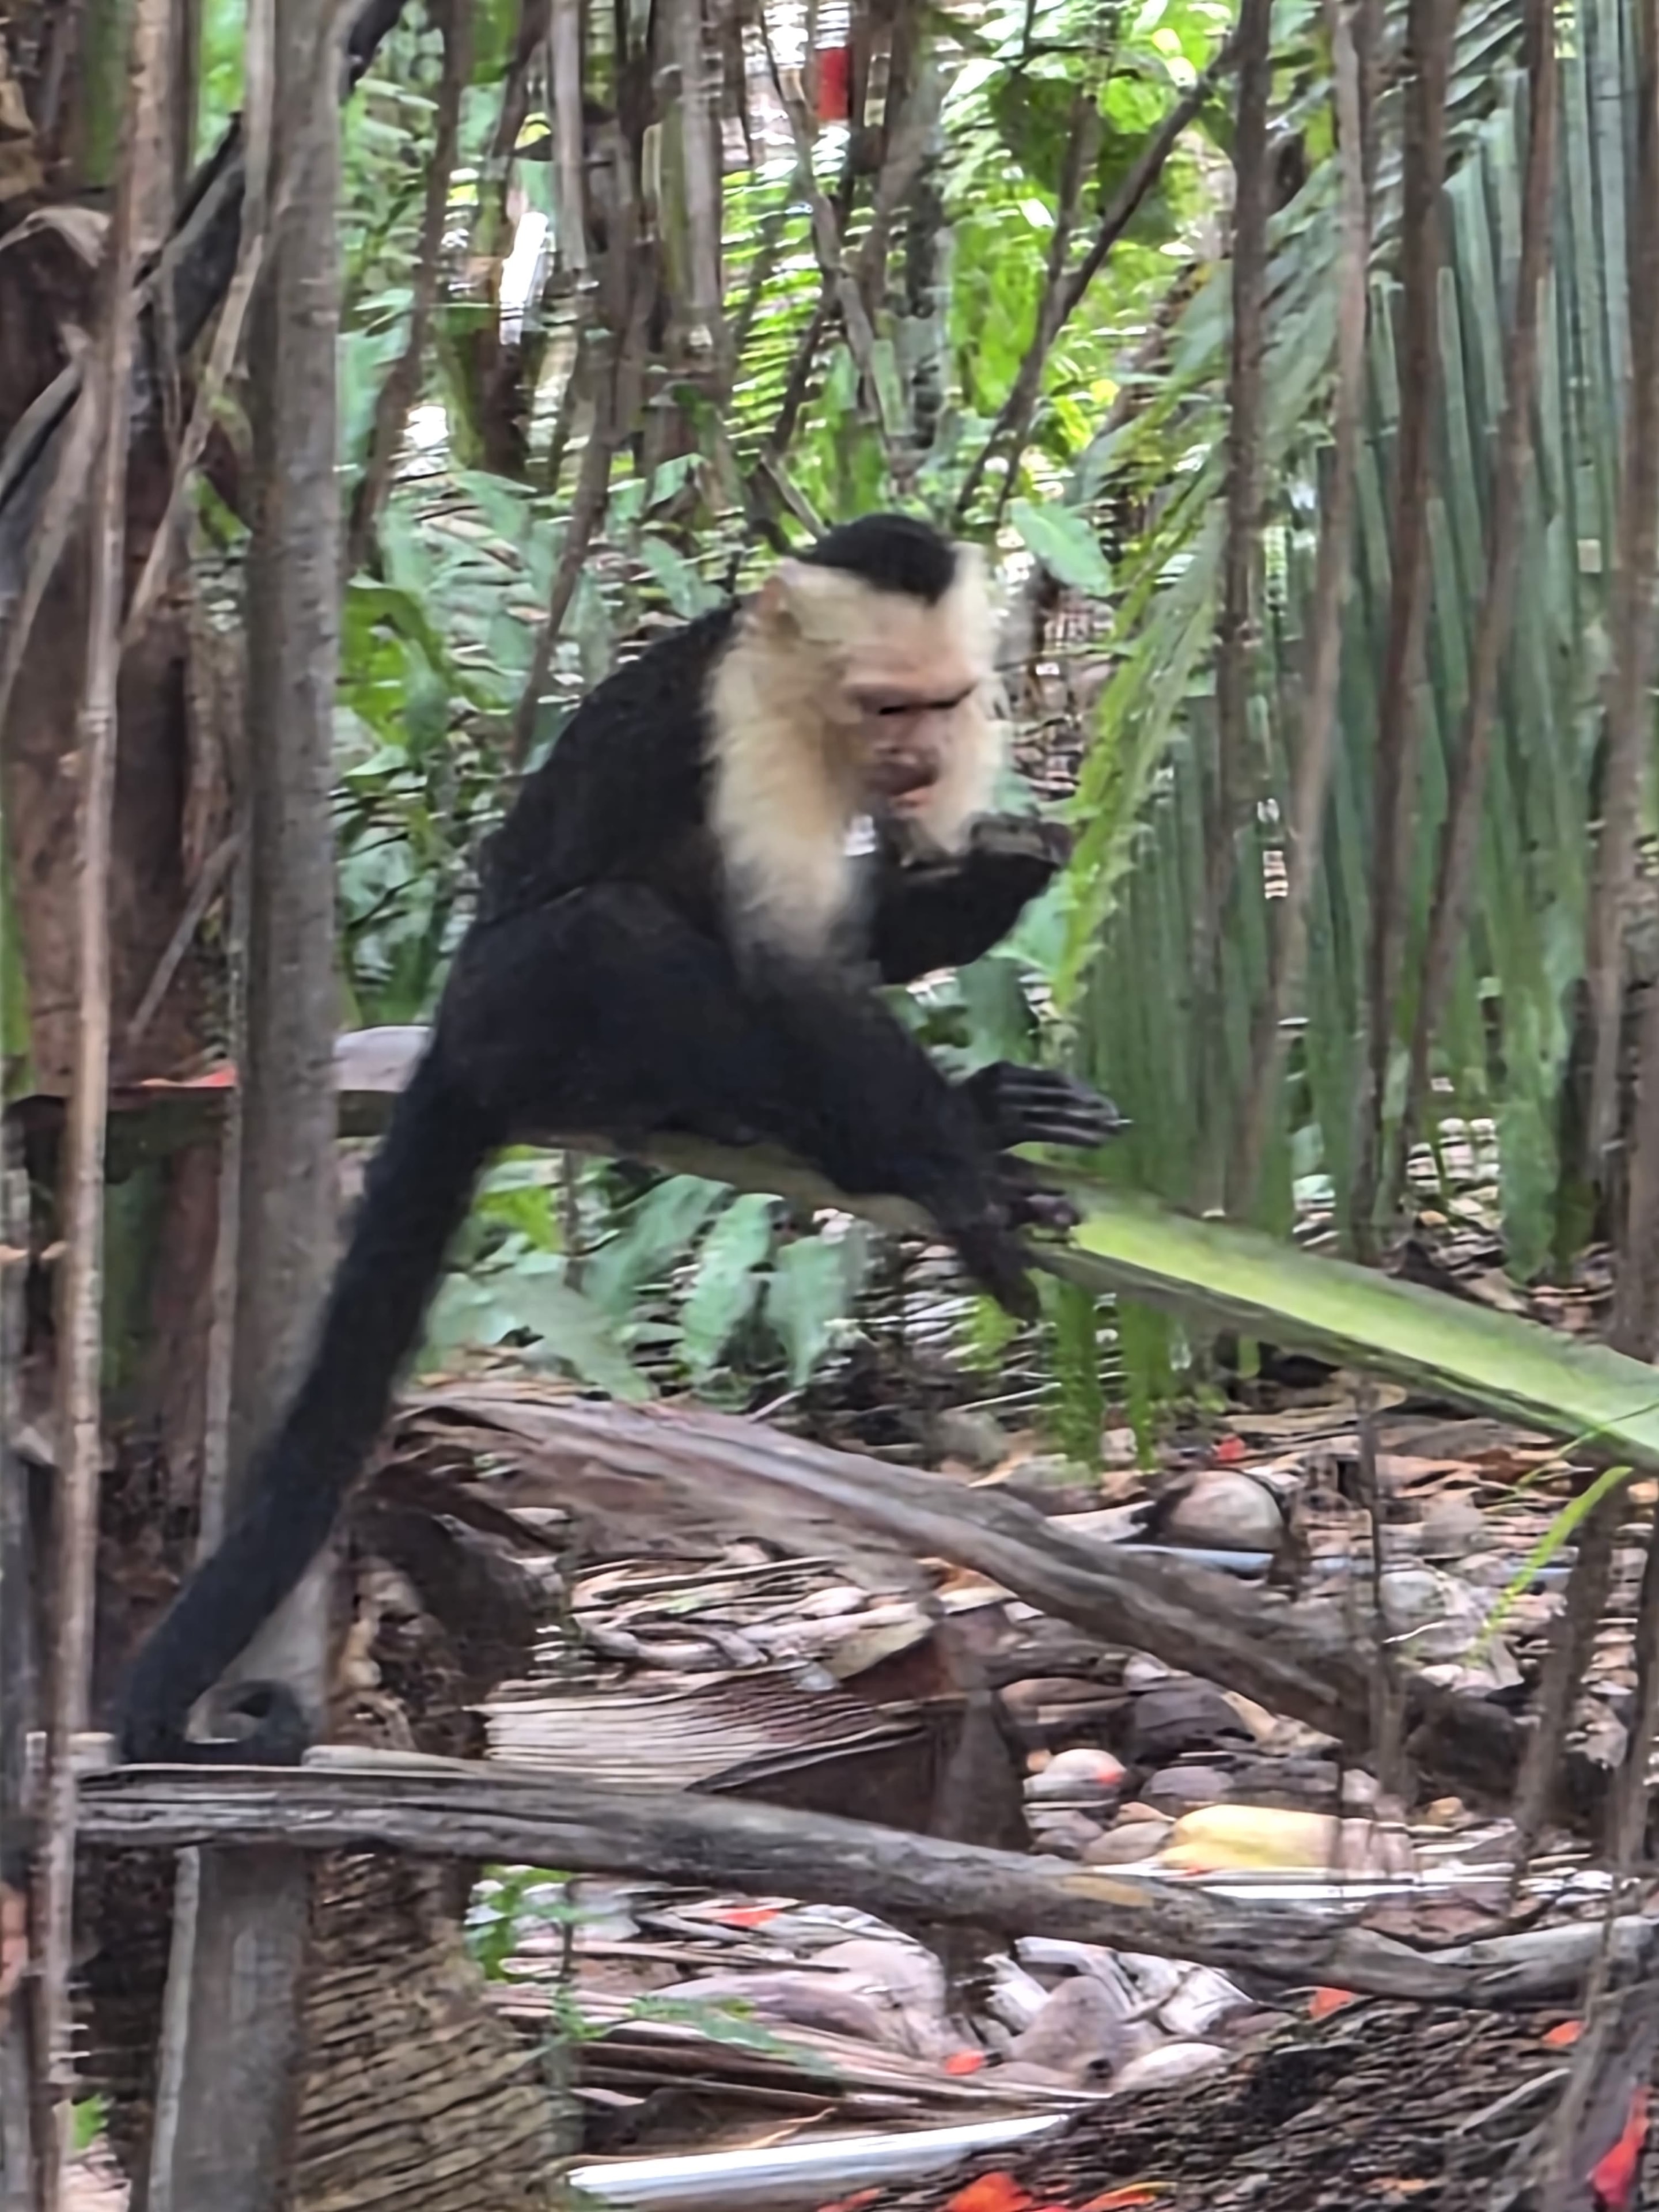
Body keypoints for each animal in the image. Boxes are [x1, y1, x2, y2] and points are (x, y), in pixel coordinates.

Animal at [115, 512, 1122, 1767]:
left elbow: (870, 929)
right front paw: (963, 1171)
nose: (920, 756)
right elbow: (796, 979)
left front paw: (998, 880)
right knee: (614, 934)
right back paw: (862, 1140)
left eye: (939, 704)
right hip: (514, 1021)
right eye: (885, 705)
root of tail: (453, 1030)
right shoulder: (744, 720)